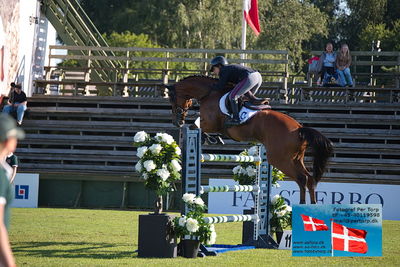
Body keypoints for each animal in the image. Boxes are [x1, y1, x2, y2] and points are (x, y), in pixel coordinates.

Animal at [164, 75, 332, 205]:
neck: (209, 93)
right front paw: (214, 139)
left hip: (280, 159)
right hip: (296, 158)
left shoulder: (211, 123)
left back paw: (302, 206)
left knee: (301, 178)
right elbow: (197, 125)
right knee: (309, 179)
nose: (176, 122)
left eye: (171, 99)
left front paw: (210, 138)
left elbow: (196, 125)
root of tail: (298, 128)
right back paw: (312, 206)